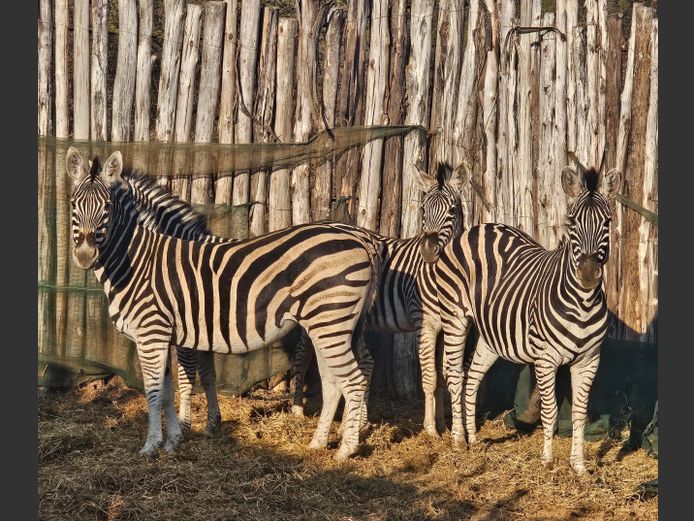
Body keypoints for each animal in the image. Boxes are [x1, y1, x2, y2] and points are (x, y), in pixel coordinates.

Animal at [67, 147, 384, 460]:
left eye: (107, 208)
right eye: (73, 205)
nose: (84, 256)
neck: (139, 261)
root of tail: (361, 238)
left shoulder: (154, 333)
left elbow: (160, 390)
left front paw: (153, 445)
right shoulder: (172, 334)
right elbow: (178, 385)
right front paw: (177, 439)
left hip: (330, 322)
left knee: (353, 379)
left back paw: (346, 449)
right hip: (328, 325)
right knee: (335, 381)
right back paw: (320, 442)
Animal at [291, 163, 465, 437]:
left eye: (452, 210)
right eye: (423, 210)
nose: (428, 251)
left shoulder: (444, 325)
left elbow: (440, 377)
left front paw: (441, 424)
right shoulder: (424, 322)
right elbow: (429, 377)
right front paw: (430, 429)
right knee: (301, 352)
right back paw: (297, 409)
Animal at [435, 163, 620, 475]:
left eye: (607, 222)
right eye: (572, 222)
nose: (588, 275)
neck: (582, 303)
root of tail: (479, 227)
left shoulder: (589, 360)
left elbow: (580, 413)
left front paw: (579, 466)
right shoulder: (546, 359)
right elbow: (550, 411)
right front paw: (548, 461)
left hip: (490, 336)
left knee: (472, 378)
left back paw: (473, 439)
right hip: (455, 317)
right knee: (455, 374)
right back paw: (458, 441)